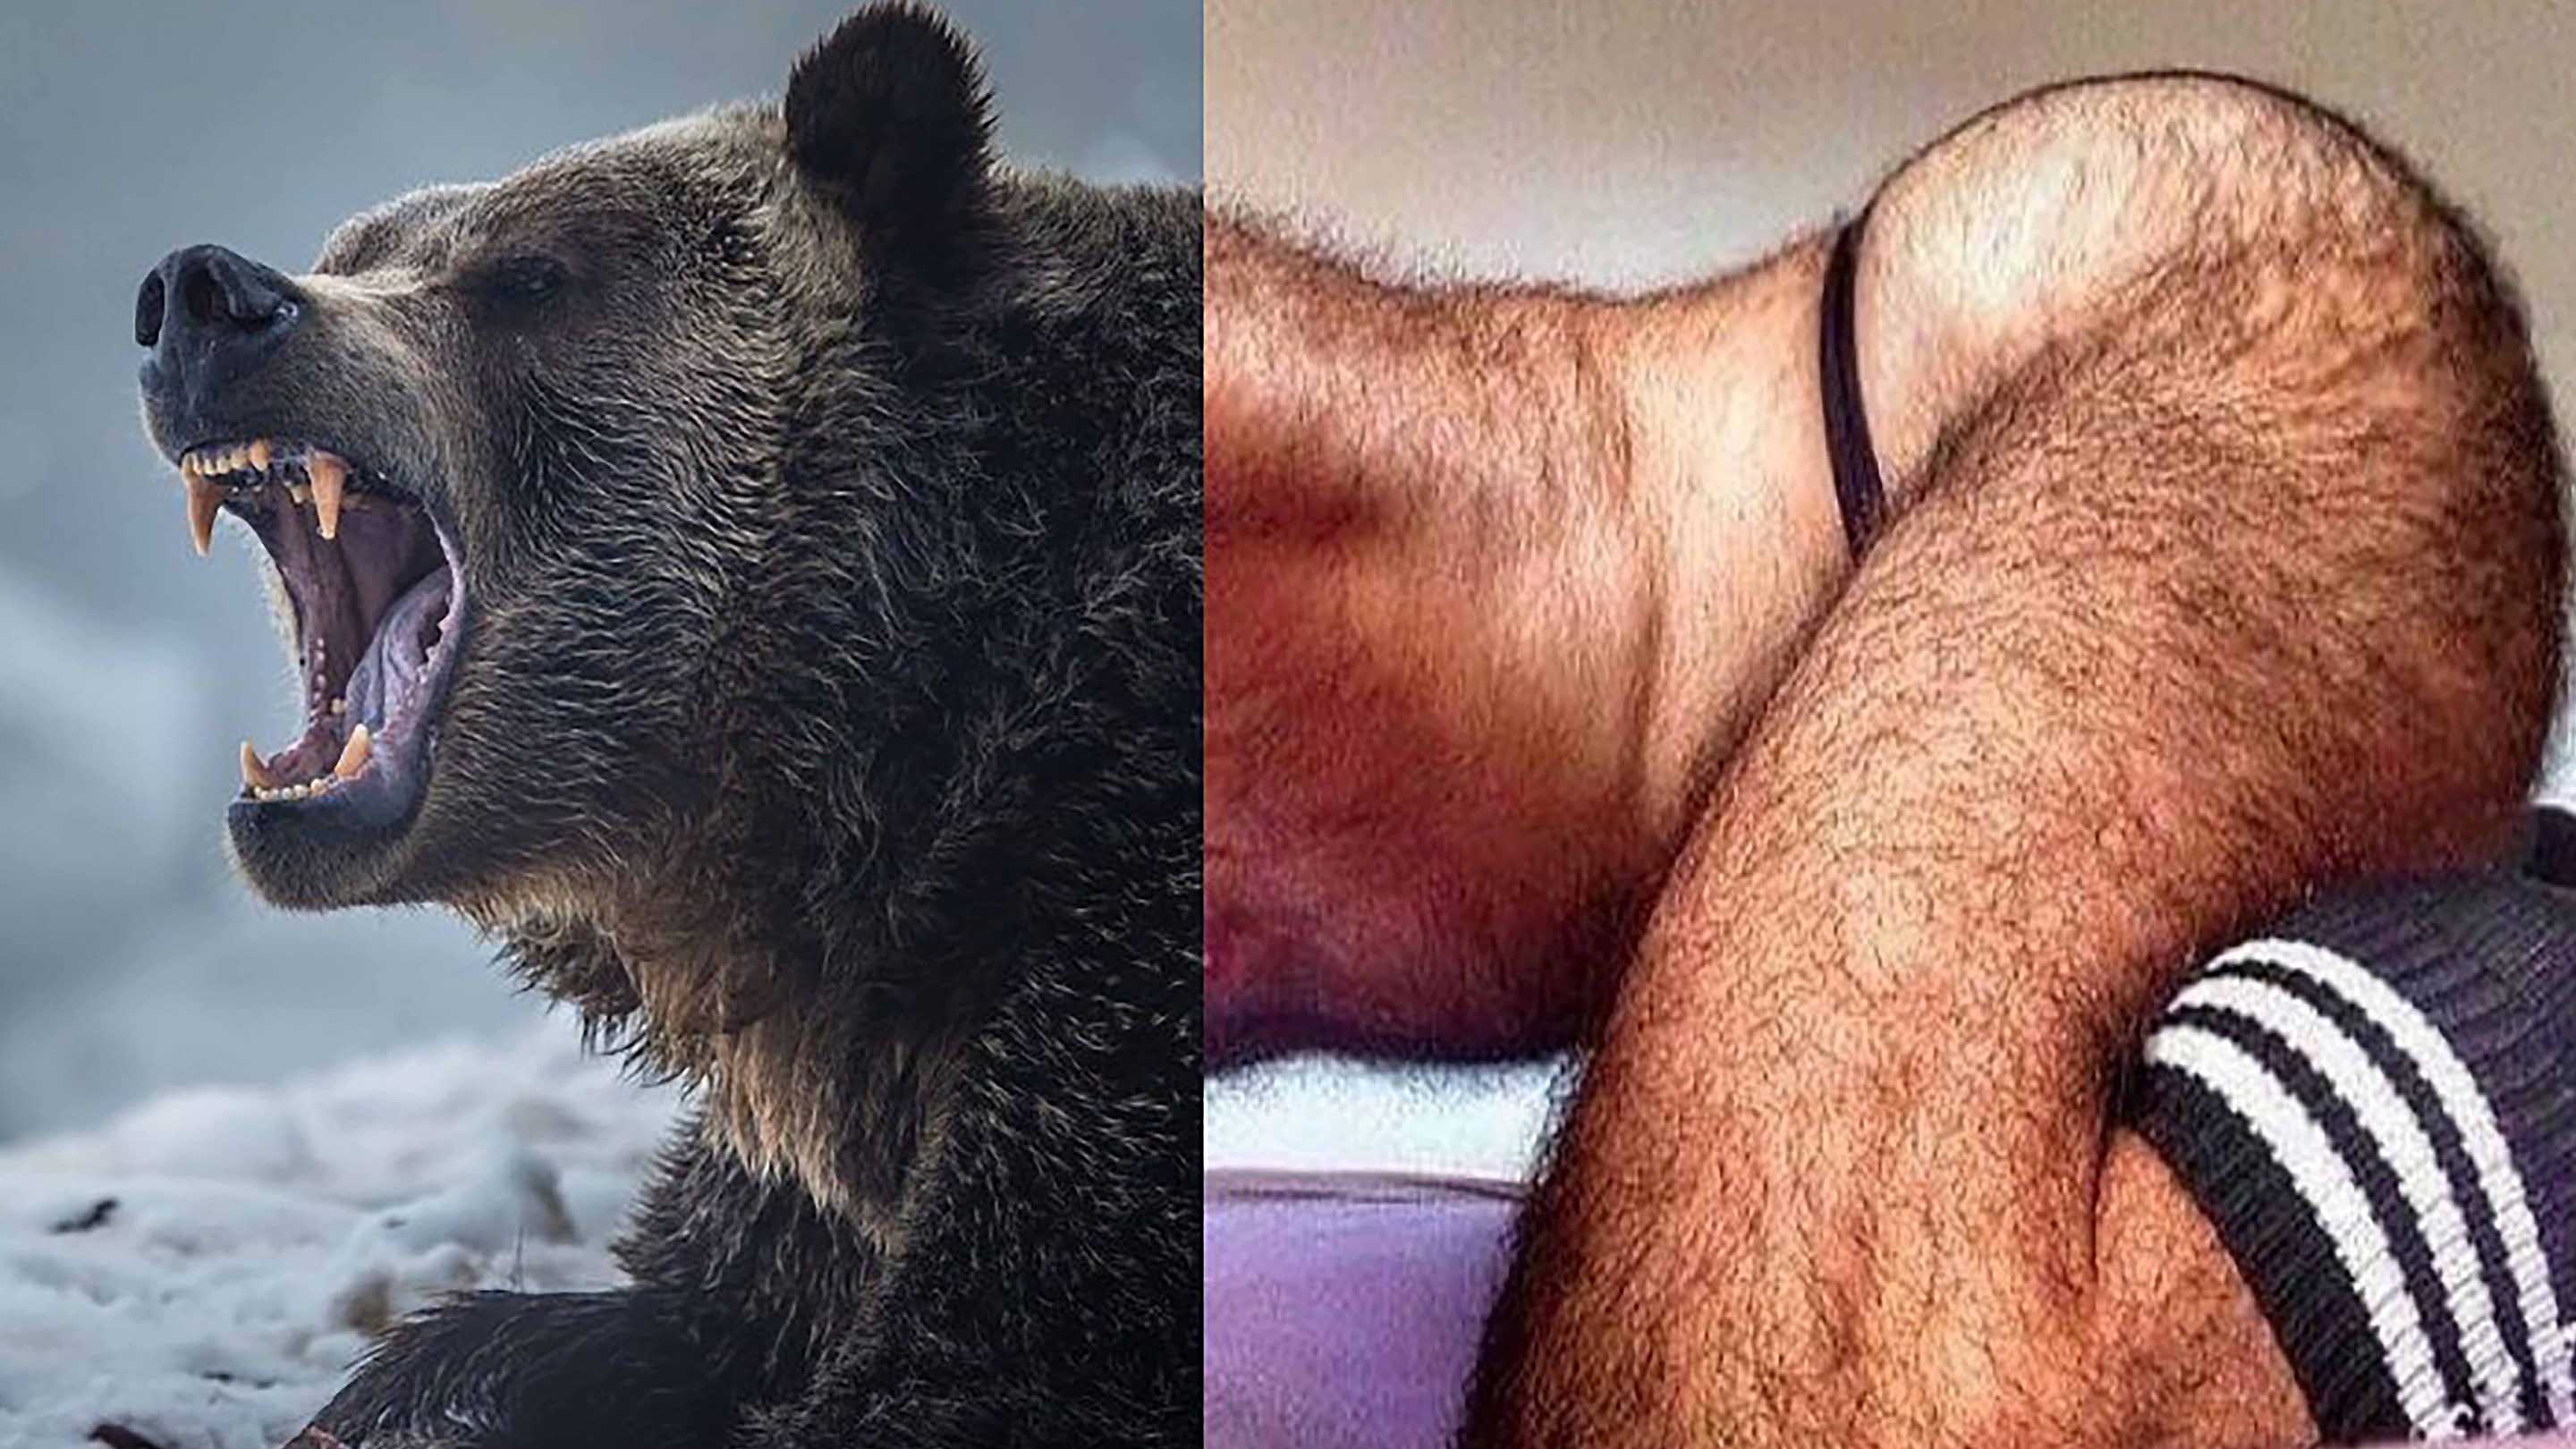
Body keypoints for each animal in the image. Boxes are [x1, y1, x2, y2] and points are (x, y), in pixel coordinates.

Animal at [129, 6, 1199, 1445]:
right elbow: (668, 1312)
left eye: (529, 278)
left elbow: (982, 1358)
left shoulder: (1122, 941)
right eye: (355, 247)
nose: (204, 295)